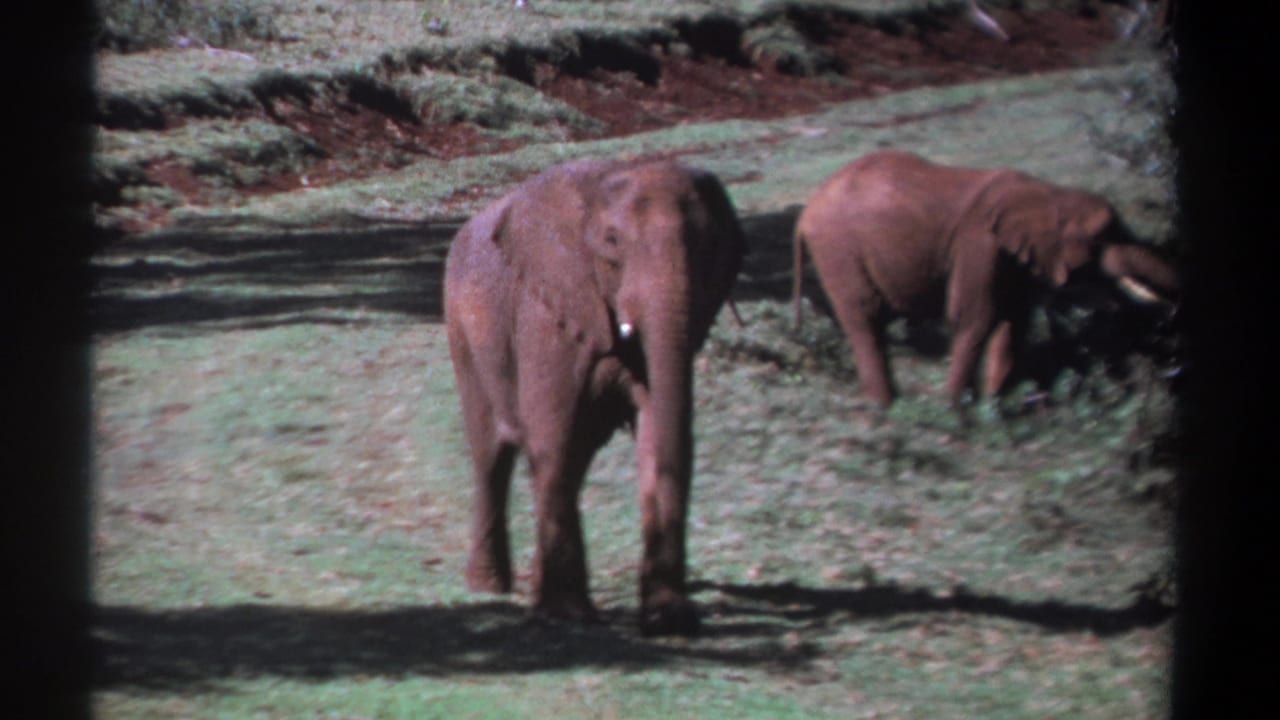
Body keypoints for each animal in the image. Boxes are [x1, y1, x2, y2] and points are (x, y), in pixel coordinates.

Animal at [443, 157, 746, 636]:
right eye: (612, 242)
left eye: (709, 245)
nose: (671, 619)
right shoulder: (548, 310)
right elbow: (554, 434)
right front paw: (567, 616)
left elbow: (656, 428)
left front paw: (669, 617)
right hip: (464, 337)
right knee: (492, 456)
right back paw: (489, 588)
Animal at [792, 150, 1179, 407]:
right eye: (1100, 238)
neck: (1047, 195)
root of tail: (806, 212)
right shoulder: (979, 244)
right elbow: (975, 316)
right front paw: (957, 414)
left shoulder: (1015, 259)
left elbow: (1014, 322)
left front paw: (997, 405)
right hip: (838, 249)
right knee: (865, 318)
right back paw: (884, 411)